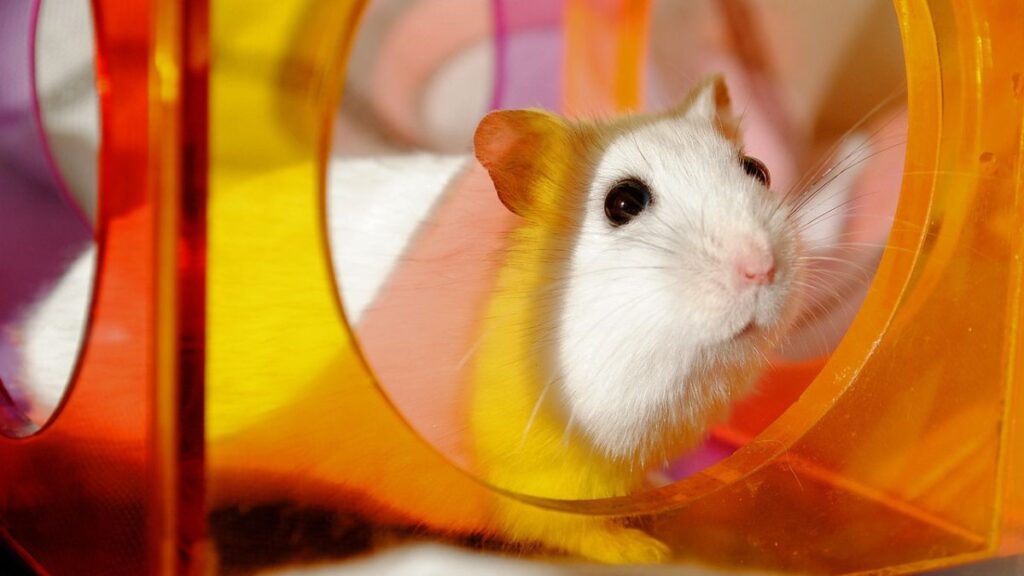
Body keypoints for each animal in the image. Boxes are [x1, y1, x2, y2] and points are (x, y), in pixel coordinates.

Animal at [469, 76, 801, 562]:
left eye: (757, 169)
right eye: (623, 202)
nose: (762, 268)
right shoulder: (535, 475)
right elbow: (572, 526)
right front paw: (650, 552)